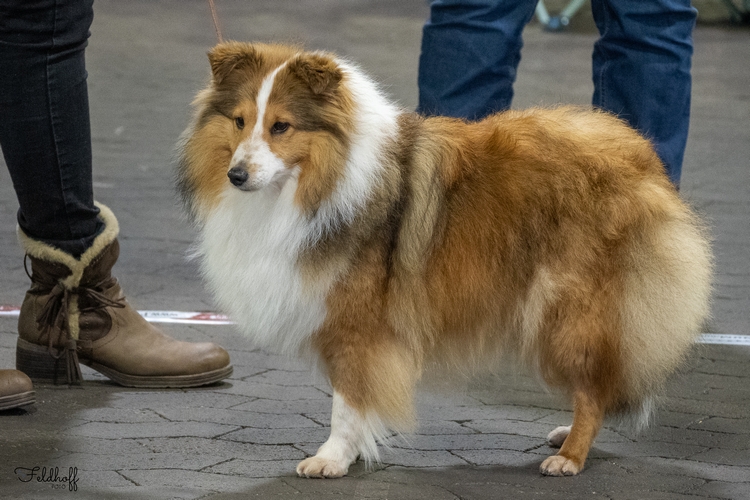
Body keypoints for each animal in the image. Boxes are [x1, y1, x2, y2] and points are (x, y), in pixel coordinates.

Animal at [175, 42, 712, 476]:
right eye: (239, 121)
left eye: (281, 126)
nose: (237, 175)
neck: (318, 180)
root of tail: (643, 158)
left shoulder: (356, 323)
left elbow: (347, 401)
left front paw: (331, 459)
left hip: (566, 308)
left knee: (594, 387)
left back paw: (570, 456)